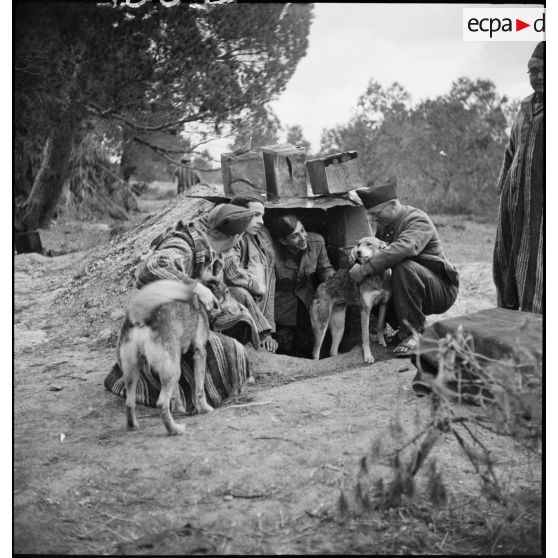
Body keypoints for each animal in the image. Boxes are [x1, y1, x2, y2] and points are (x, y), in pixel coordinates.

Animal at [119, 278, 242, 438]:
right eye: (227, 291)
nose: (241, 308)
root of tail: (142, 316)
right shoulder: (200, 352)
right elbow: (199, 388)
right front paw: (204, 408)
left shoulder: (178, 359)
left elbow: (176, 391)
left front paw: (179, 409)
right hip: (171, 370)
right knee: (161, 404)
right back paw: (174, 429)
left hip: (134, 370)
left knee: (129, 403)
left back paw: (133, 425)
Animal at [310, 237, 394, 366]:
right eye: (358, 244)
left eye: (369, 244)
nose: (357, 252)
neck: (377, 275)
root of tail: (321, 287)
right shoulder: (365, 310)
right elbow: (365, 337)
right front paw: (368, 356)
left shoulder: (384, 304)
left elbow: (380, 325)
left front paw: (382, 341)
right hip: (321, 325)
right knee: (315, 353)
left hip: (339, 327)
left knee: (332, 351)